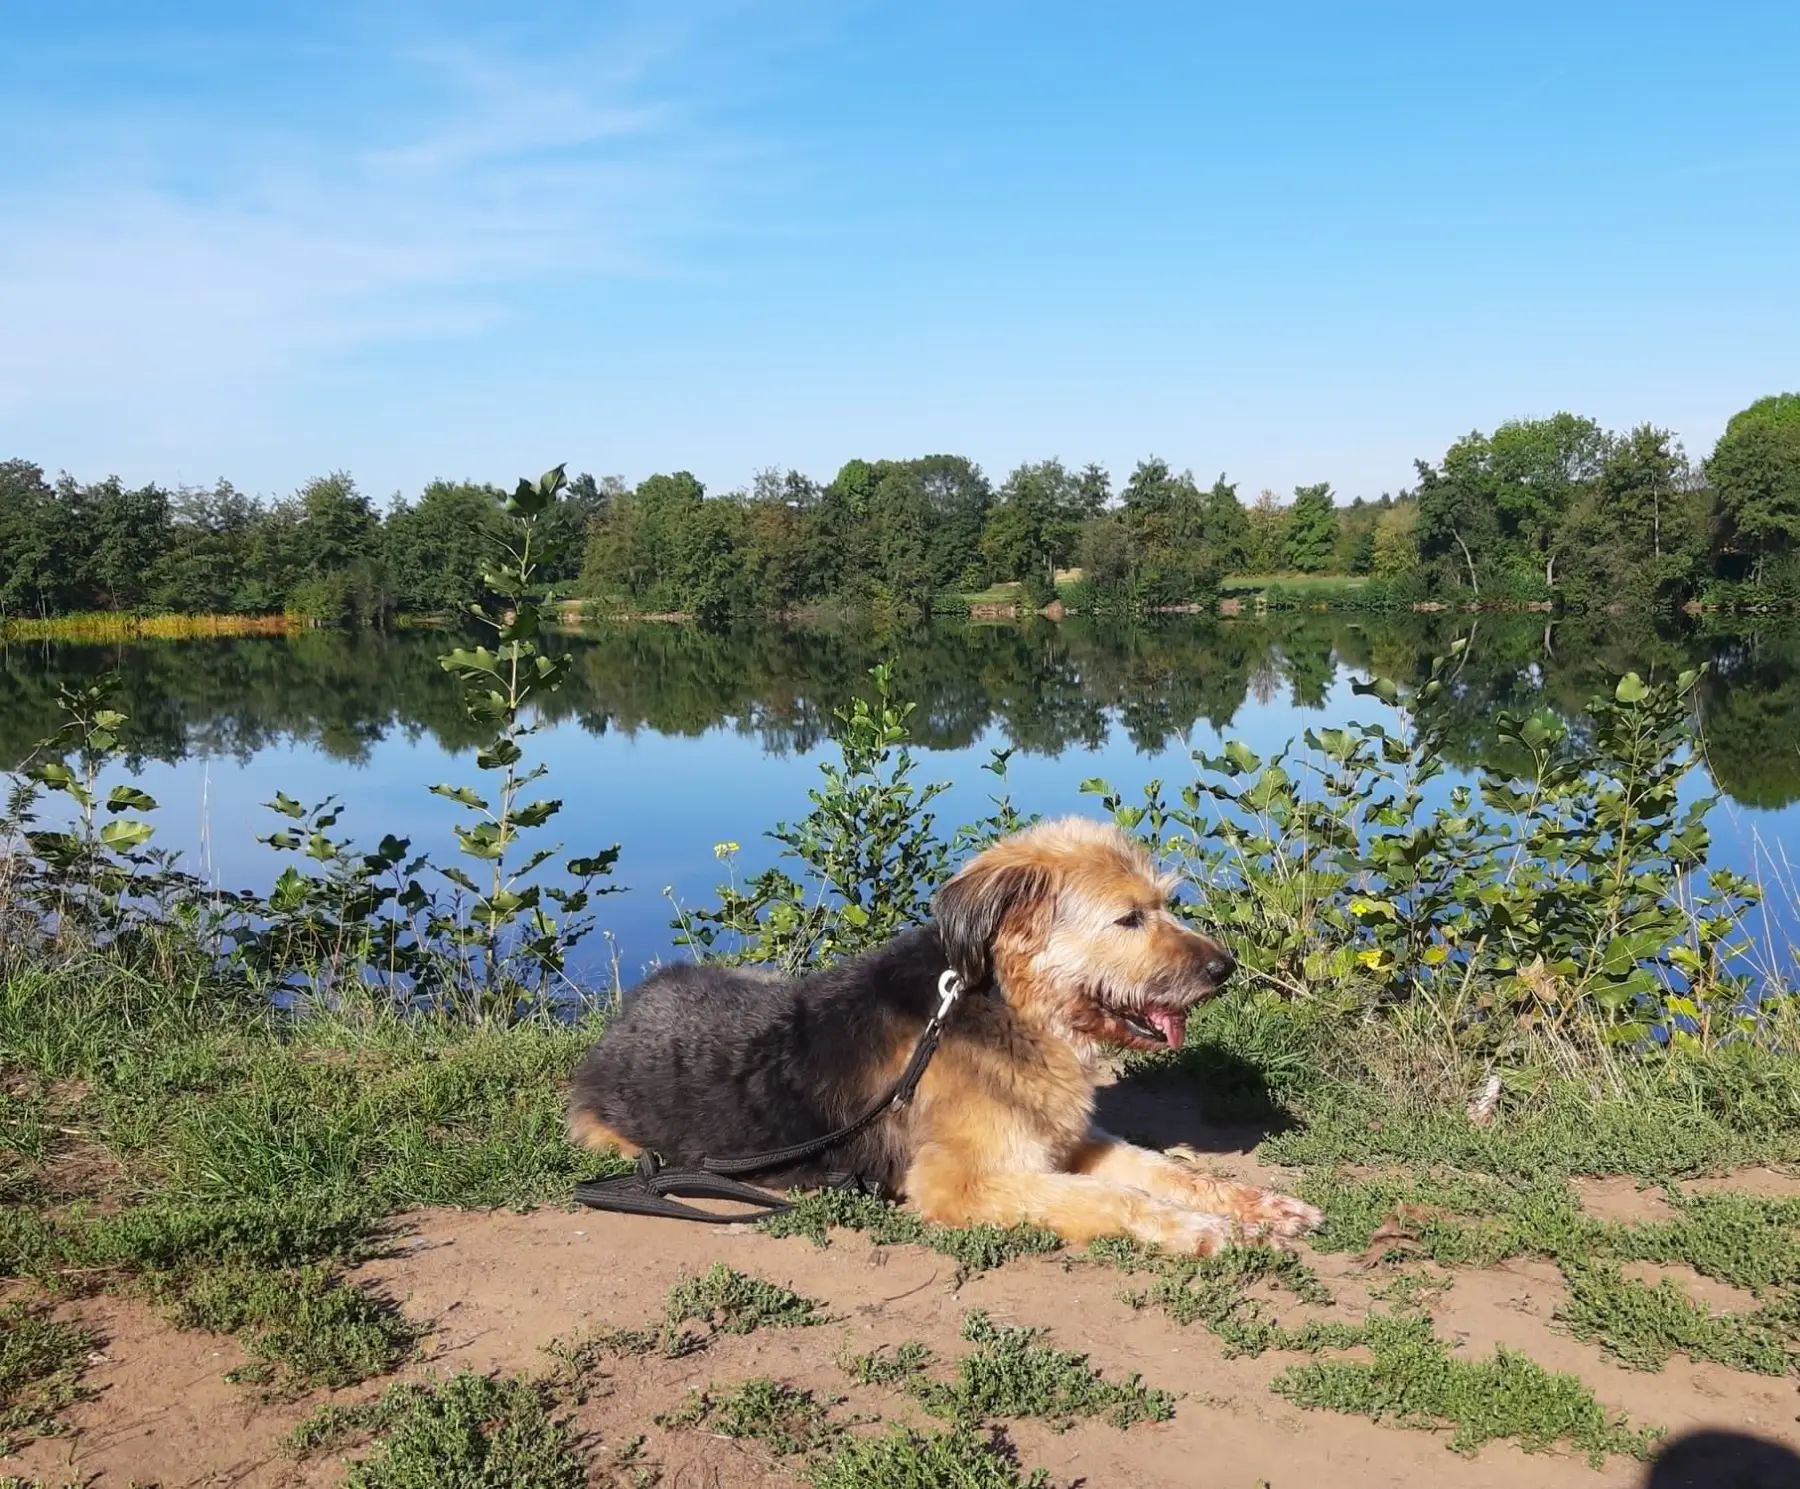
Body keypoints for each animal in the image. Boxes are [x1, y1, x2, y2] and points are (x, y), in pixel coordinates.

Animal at [572, 821, 1324, 1253]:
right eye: (1128, 919)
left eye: (1164, 903)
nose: (1224, 968)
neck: (1011, 1008)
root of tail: (623, 1015)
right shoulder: (958, 1183)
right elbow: (1115, 1197)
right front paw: (1202, 1230)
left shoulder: (1070, 1139)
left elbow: (1169, 1171)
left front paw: (1260, 1207)